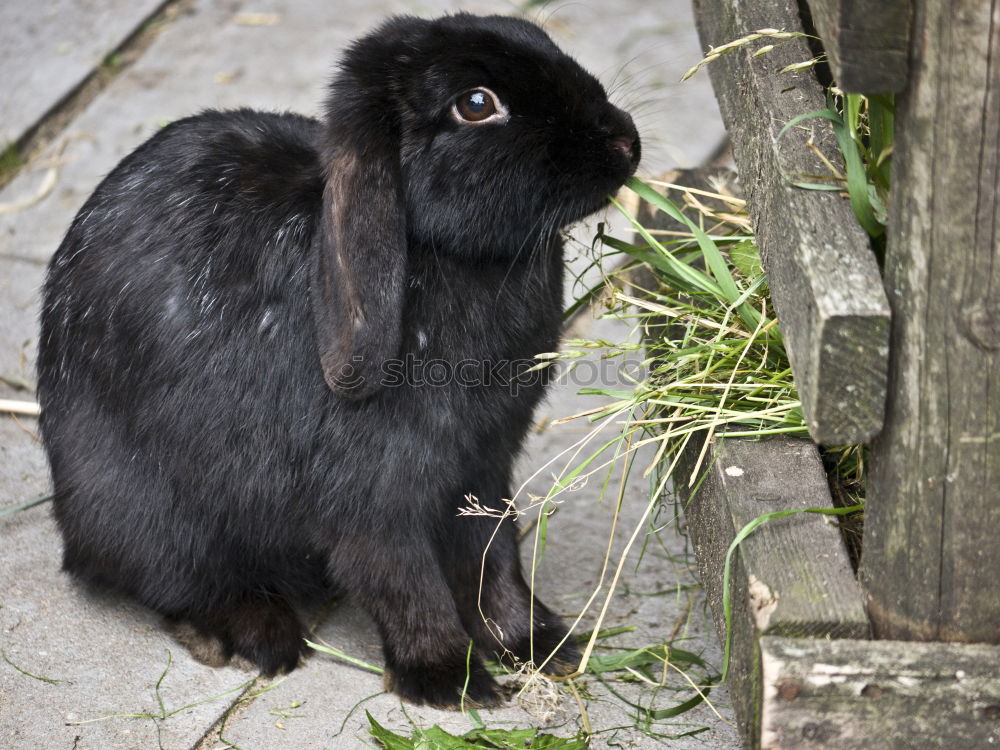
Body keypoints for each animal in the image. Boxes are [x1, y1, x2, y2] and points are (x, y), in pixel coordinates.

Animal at [37, 13, 640, 712]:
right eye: (476, 104)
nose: (624, 142)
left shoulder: (482, 469)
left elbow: (494, 563)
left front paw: (540, 647)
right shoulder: (373, 498)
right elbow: (404, 580)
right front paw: (450, 682)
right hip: (154, 516)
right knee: (169, 581)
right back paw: (257, 637)